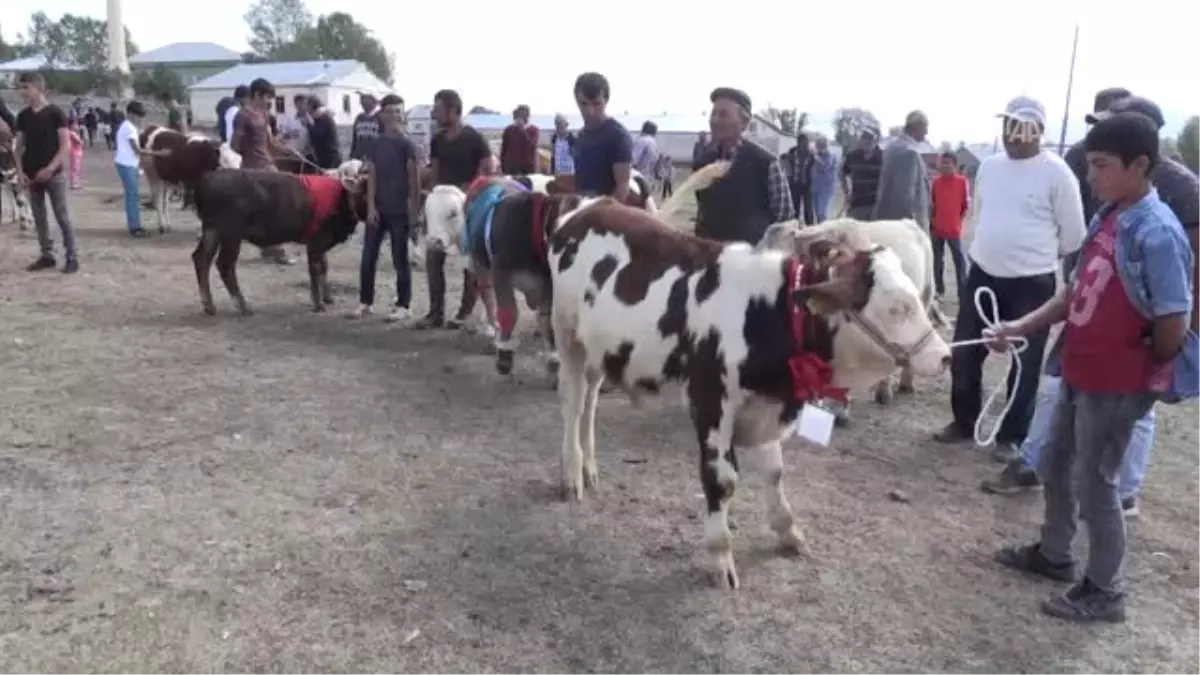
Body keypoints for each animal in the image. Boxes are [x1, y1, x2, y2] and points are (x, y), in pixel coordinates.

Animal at [549, 196, 950, 586]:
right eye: (897, 307)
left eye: (916, 296)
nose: (945, 356)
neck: (765, 312)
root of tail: (589, 205)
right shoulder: (711, 402)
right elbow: (721, 480)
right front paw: (720, 556)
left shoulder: (765, 405)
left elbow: (774, 472)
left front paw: (789, 532)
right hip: (568, 337)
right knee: (572, 404)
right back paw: (572, 475)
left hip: (601, 351)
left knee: (590, 400)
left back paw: (589, 468)